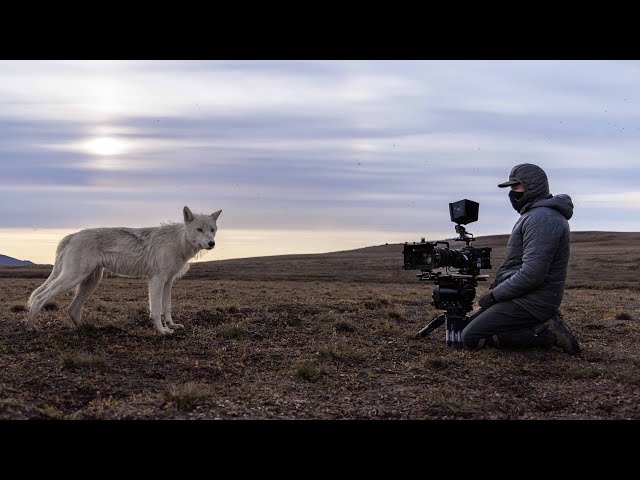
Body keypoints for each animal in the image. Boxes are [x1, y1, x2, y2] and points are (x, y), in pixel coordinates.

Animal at [26, 206, 221, 335]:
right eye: (199, 229)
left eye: (212, 230)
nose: (212, 243)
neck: (179, 242)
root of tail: (72, 236)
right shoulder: (157, 280)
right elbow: (156, 309)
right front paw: (162, 330)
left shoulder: (168, 281)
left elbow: (167, 307)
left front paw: (172, 325)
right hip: (72, 279)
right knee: (40, 297)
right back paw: (31, 327)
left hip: (90, 282)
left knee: (72, 309)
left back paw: (87, 328)